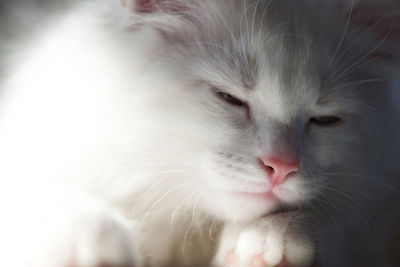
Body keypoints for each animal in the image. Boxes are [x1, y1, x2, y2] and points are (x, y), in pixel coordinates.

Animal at [0, 0, 398, 266]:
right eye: (229, 97)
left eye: (325, 120)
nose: (282, 167)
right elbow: (43, 196)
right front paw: (92, 240)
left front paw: (271, 240)